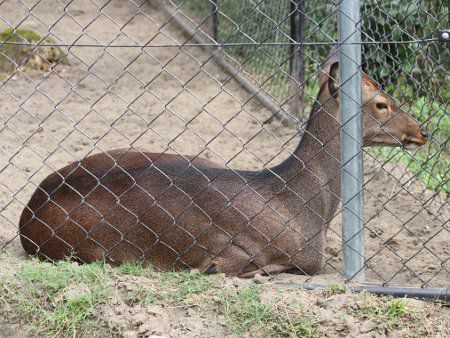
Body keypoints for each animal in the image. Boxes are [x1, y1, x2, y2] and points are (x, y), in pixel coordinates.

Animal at [17, 51, 428, 276]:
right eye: (381, 103)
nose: (422, 131)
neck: (303, 206)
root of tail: (27, 216)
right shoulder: (259, 252)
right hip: (92, 250)